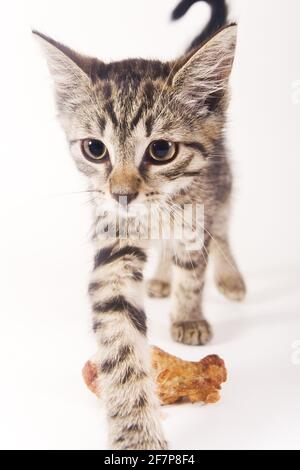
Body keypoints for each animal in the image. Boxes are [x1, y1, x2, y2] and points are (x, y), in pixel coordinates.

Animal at [35, 0, 246, 450]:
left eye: (161, 150)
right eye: (94, 149)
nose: (122, 194)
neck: (154, 213)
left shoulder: (195, 214)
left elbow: (193, 271)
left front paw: (187, 317)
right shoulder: (112, 238)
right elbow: (119, 334)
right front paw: (135, 429)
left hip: (222, 185)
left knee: (222, 230)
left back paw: (229, 277)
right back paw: (161, 279)